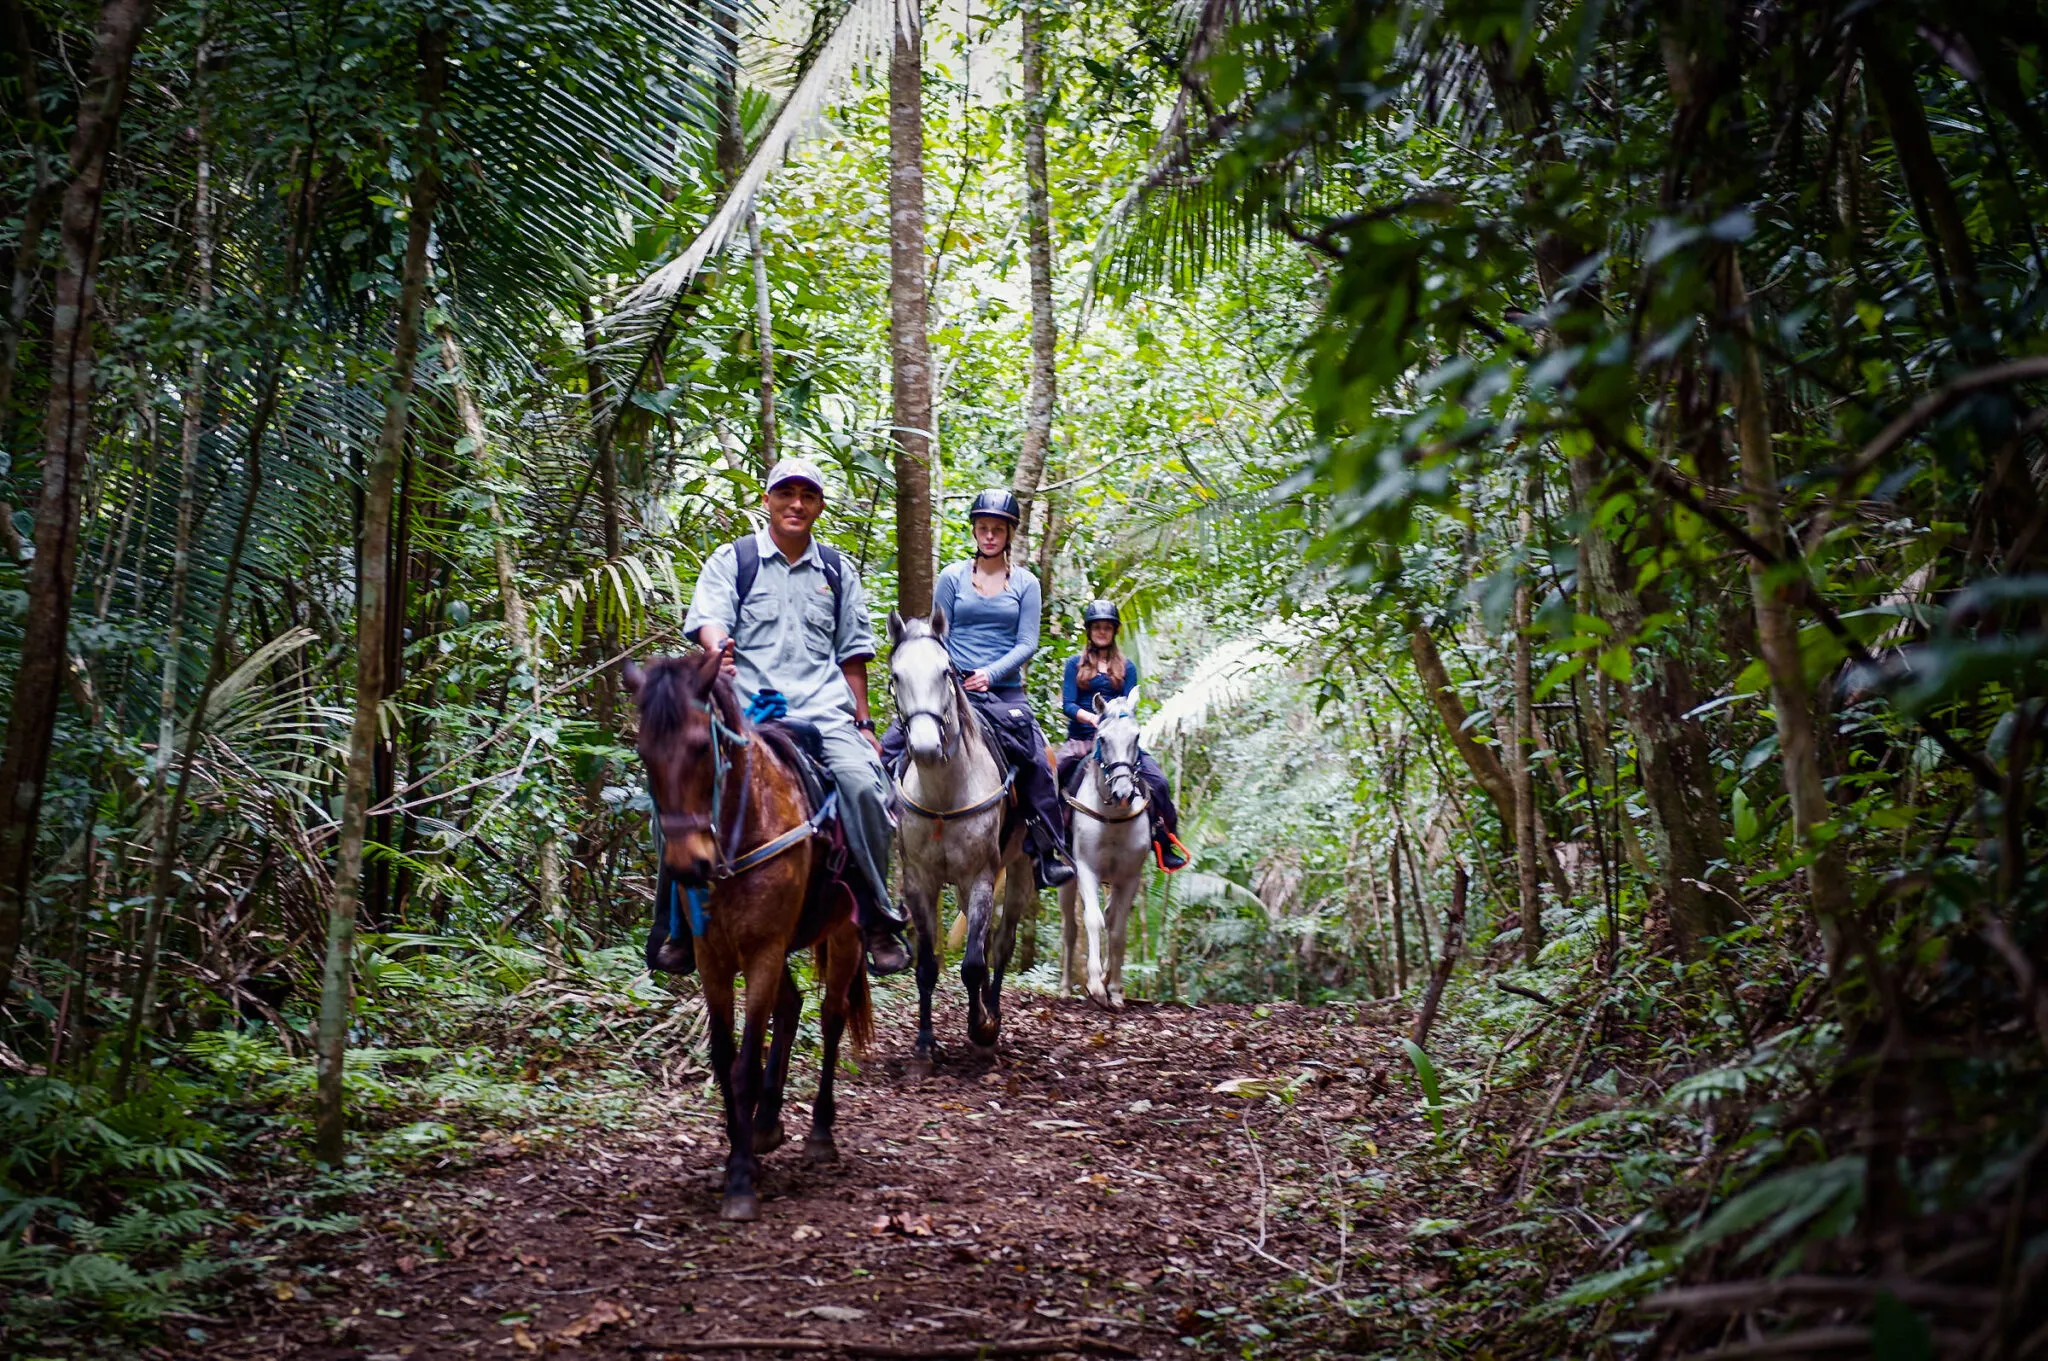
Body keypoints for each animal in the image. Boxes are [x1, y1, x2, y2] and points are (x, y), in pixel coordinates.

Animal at [626, 646, 876, 1219]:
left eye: (702, 747)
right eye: (645, 753)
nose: (688, 867)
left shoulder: (762, 949)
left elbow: (743, 1062)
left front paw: (740, 1181)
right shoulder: (713, 955)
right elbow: (724, 1057)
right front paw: (739, 1155)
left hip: (843, 935)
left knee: (830, 1017)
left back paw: (819, 1134)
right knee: (792, 1004)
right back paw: (765, 1125)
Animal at [888, 609, 1040, 1064]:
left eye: (946, 672)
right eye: (897, 675)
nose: (924, 748)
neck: (943, 795)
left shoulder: (981, 877)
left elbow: (973, 963)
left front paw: (982, 1028)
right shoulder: (919, 880)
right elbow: (927, 965)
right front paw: (925, 1042)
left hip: (1020, 869)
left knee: (1002, 943)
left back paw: (992, 1010)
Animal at [1056, 695, 1155, 1015]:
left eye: (1136, 736)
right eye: (1102, 738)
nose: (1124, 792)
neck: (1113, 817)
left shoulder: (1129, 877)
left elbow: (1118, 930)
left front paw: (1114, 990)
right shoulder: (1087, 869)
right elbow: (1093, 920)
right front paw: (1096, 986)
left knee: (1111, 919)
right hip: (1067, 876)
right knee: (1070, 928)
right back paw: (1066, 988)